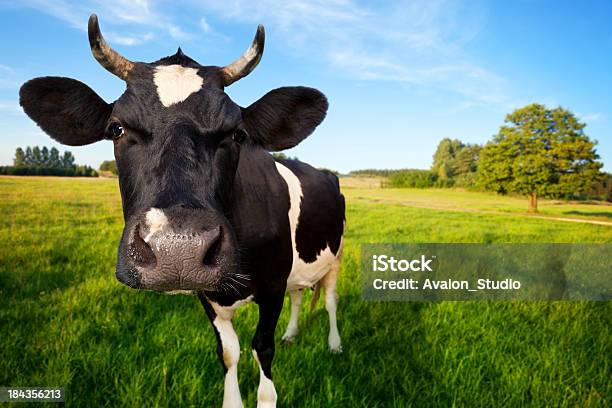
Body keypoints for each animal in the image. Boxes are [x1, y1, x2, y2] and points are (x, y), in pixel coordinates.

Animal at [20, 14, 344, 408]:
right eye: (116, 128)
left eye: (237, 134)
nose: (179, 251)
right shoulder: (208, 295)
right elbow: (229, 354)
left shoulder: (272, 286)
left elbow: (262, 352)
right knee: (300, 296)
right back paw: (293, 334)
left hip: (336, 257)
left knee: (330, 301)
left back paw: (334, 345)